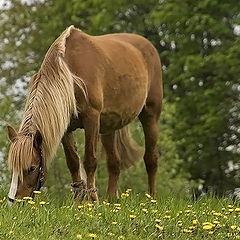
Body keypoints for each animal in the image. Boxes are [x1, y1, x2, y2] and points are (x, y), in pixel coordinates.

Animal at [6, 25, 163, 202]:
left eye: (32, 168)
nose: (15, 200)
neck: (69, 74)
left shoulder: (92, 119)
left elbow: (90, 160)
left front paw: (92, 201)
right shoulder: (65, 127)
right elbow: (73, 162)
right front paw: (78, 201)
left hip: (150, 115)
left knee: (151, 159)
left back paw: (151, 198)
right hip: (109, 127)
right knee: (114, 163)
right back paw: (111, 200)